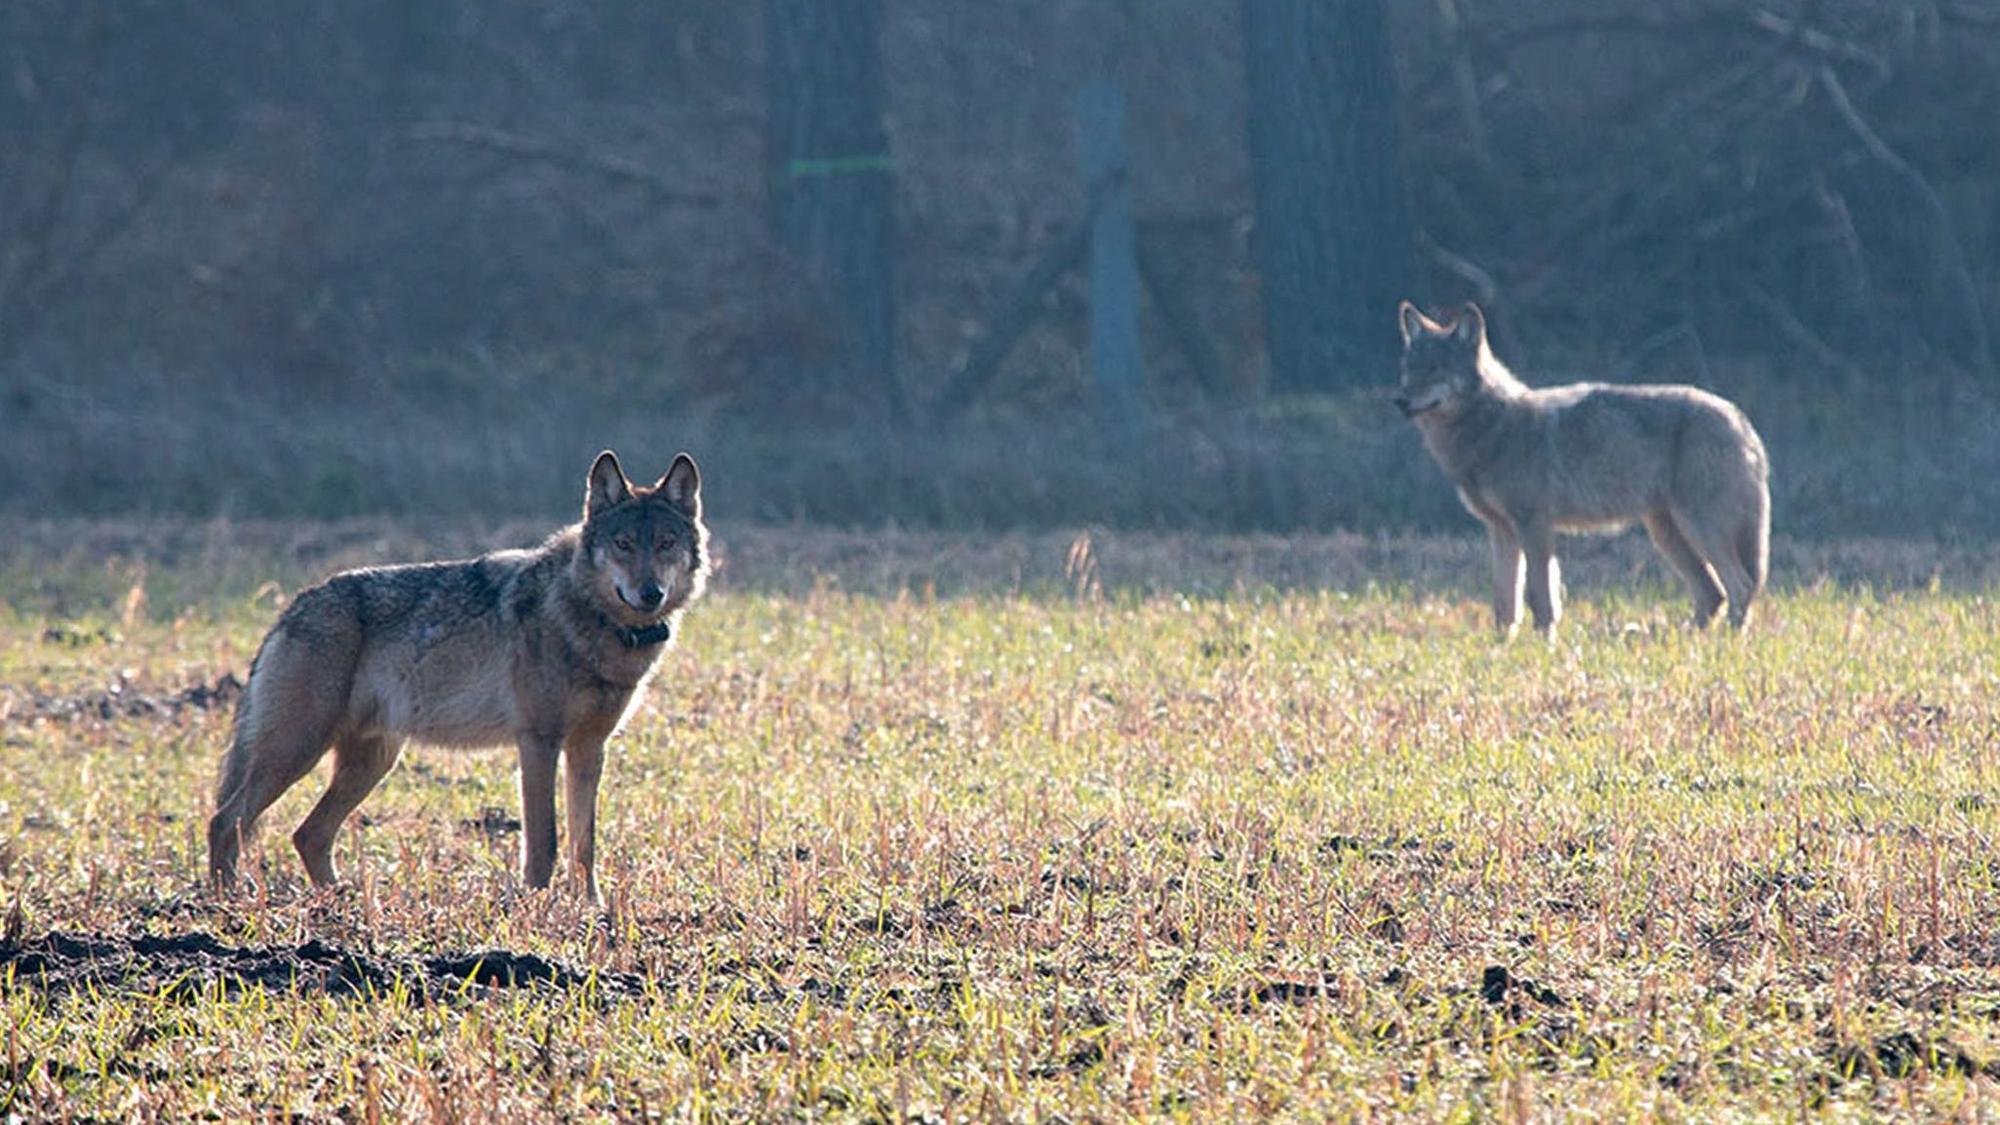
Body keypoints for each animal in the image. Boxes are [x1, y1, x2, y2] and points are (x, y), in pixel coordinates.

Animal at [207, 450, 708, 899]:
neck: (590, 619)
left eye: (665, 544)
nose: (650, 593)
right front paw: (536, 908)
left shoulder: (589, 748)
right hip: (297, 752)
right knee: (225, 820)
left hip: (372, 761)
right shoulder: (538, 742)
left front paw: (591, 909)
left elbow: (584, 844)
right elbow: (544, 841)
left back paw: (340, 902)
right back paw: (228, 903)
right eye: (624, 544)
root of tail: (291, 607)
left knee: (307, 834)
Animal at [1394, 301, 1769, 637]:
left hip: (1699, 527)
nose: (1400, 400)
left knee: (1740, 586)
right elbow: (1505, 604)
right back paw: (1686, 639)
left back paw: (1727, 642)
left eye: (1435, 369)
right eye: (1409, 369)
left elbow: (1540, 598)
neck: (1492, 425)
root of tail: (1741, 419)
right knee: (1712, 593)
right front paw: (1503, 648)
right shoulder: (1501, 531)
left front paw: (1543, 646)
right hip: (1666, 533)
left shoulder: (1534, 526)